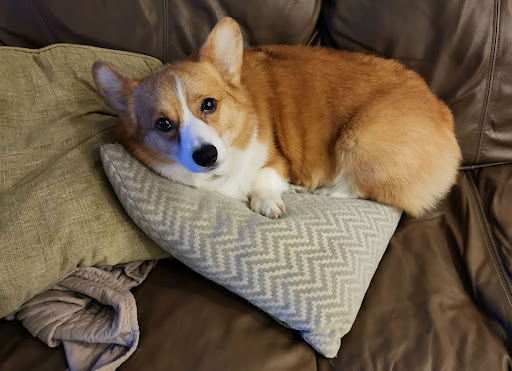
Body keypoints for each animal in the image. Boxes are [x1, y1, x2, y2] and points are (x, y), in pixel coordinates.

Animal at [91, 17, 460, 219]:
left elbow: (264, 178)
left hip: (360, 138)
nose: (206, 155)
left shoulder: (275, 160)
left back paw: (320, 192)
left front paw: (268, 201)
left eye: (209, 104)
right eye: (163, 124)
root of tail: (446, 115)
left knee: (363, 189)